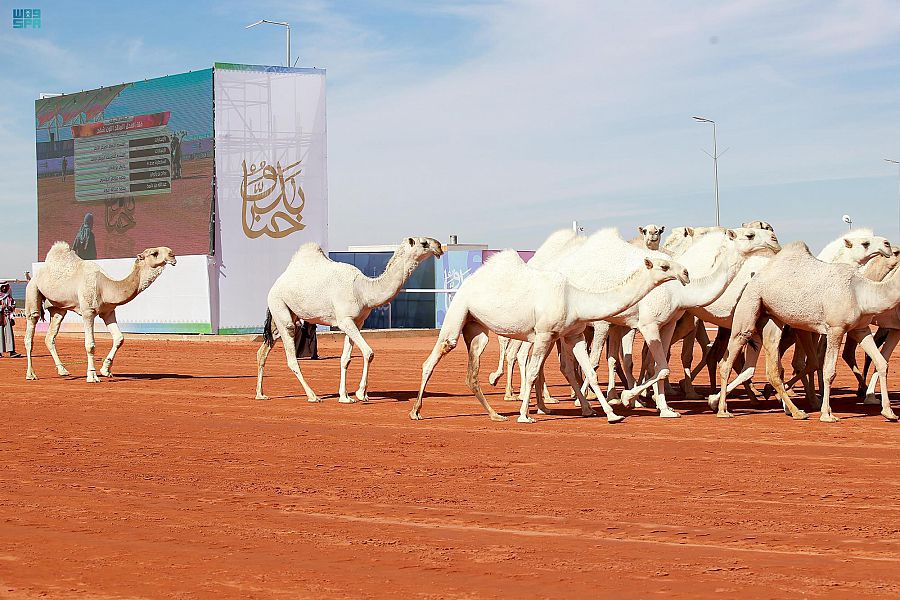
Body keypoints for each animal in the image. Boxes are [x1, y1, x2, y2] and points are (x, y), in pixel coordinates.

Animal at [23, 241, 177, 382]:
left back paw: (63, 370)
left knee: (50, 336)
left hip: (58, 308)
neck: (105, 286)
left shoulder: (108, 312)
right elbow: (90, 344)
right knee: (30, 330)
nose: (172, 255)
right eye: (154, 253)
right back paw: (31, 374)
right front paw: (92, 375)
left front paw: (105, 370)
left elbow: (119, 338)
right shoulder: (88, 311)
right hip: (32, 290)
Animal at [256, 239, 442, 404]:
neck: (362, 291)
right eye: (424, 243)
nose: (439, 246)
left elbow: (345, 359)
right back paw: (313, 396)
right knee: (291, 355)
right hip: (279, 305)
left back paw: (260, 394)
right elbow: (368, 352)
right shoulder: (344, 320)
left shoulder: (357, 322)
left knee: (263, 350)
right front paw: (361, 394)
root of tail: (275, 284)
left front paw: (345, 397)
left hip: (286, 315)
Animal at [412, 251, 684, 424]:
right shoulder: (544, 334)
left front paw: (611, 414)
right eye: (664, 266)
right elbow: (533, 372)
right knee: (436, 355)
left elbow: (589, 371)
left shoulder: (573, 334)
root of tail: (465, 284)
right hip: (459, 310)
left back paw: (495, 414)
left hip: (476, 327)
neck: (575, 299)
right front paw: (525, 416)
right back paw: (416, 412)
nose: (685, 273)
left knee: (472, 372)